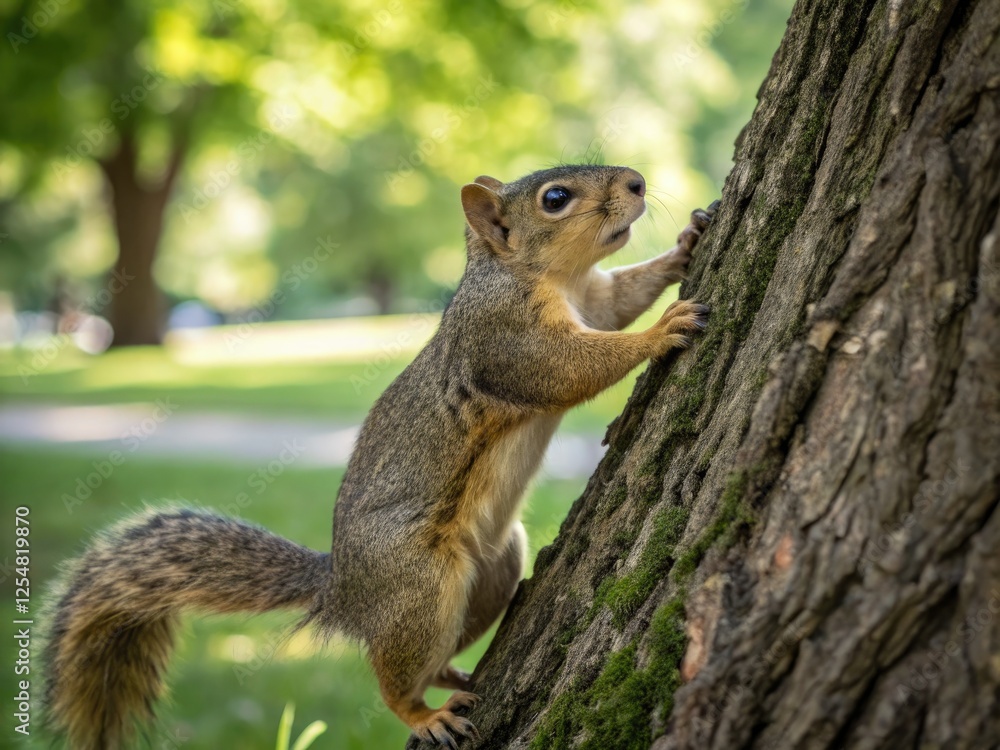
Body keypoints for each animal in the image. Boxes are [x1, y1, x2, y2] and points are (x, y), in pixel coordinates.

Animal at [41, 164, 717, 749]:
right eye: (555, 198)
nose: (638, 181)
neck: (551, 278)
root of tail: (341, 589)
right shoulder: (505, 339)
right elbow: (571, 367)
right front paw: (661, 331)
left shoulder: (592, 300)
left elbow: (621, 298)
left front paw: (685, 245)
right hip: (417, 585)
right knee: (392, 674)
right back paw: (423, 715)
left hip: (496, 567)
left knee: (438, 655)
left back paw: (455, 679)